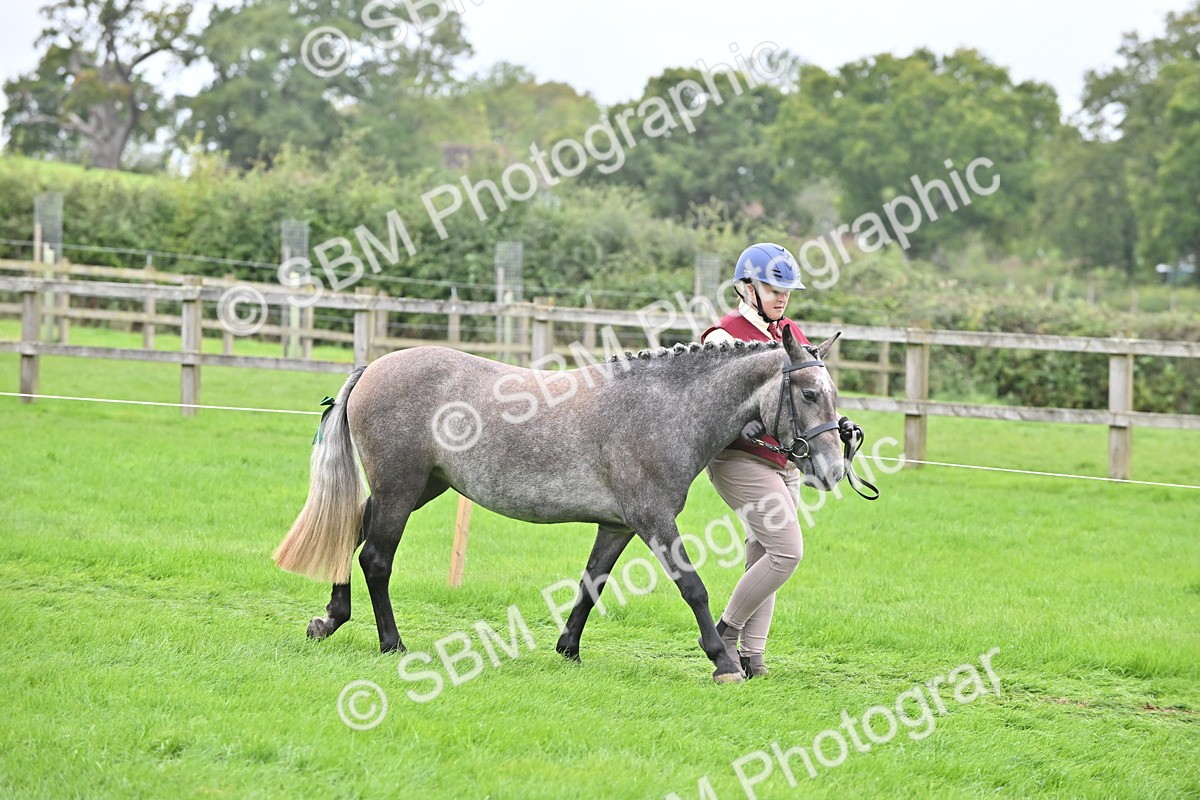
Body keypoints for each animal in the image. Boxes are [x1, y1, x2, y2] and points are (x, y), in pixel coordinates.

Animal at [273, 327, 846, 682]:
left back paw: (330, 618)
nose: (834, 470)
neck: (664, 409)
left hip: (420, 488)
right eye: (810, 394)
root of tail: (374, 367)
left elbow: (591, 585)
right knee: (376, 558)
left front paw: (568, 648)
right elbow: (695, 589)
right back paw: (391, 642)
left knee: (351, 535)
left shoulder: (617, 526)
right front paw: (724, 662)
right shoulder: (655, 521)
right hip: (401, 489)